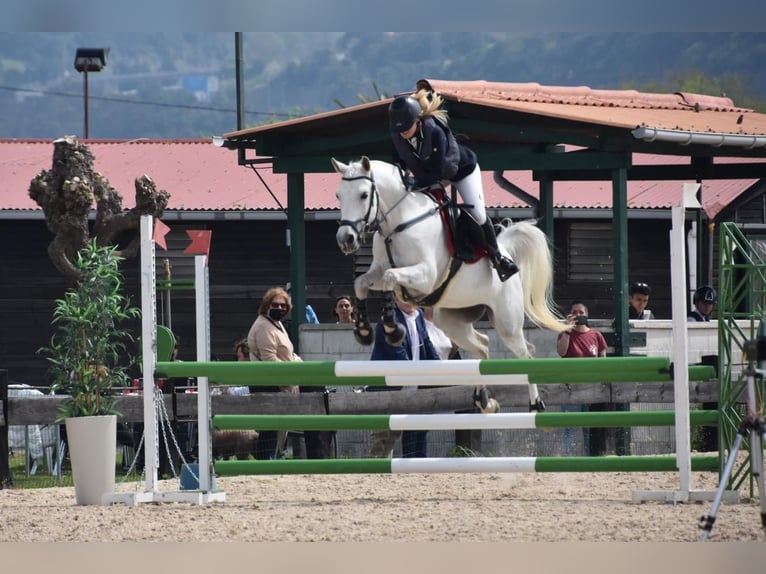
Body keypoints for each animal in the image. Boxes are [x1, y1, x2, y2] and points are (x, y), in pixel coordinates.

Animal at [332, 156, 567, 412]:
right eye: (339, 195)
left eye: (364, 195)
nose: (345, 239)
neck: (399, 224)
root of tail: (506, 252)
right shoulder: (378, 270)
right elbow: (361, 283)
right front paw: (364, 331)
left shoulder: (425, 276)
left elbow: (390, 278)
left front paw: (392, 329)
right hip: (451, 320)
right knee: (483, 345)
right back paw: (483, 400)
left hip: (507, 322)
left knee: (527, 353)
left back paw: (535, 404)